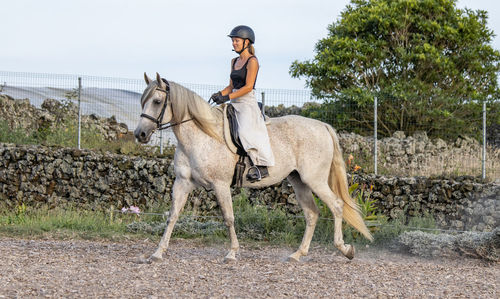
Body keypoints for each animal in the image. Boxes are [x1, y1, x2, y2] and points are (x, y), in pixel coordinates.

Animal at [133, 74, 372, 264]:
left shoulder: (220, 185)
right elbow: (172, 216)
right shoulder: (182, 182)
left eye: (157, 101)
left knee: (337, 206)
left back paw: (345, 250)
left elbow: (229, 218)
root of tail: (322, 126)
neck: (201, 135)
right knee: (312, 214)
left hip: (315, 180)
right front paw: (157, 253)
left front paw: (231, 253)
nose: (140, 134)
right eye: (143, 101)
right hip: (299, 181)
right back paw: (297, 254)